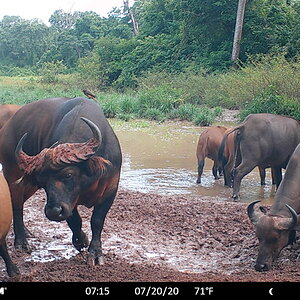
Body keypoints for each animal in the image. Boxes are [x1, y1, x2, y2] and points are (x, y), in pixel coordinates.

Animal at [0, 97, 123, 264]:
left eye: (68, 174)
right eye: (43, 181)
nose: (53, 212)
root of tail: (7, 128)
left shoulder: (111, 188)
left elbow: (97, 221)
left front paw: (95, 252)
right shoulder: (68, 202)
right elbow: (74, 220)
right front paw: (81, 240)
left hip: (29, 185)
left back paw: (27, 232)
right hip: (12, 174)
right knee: (17, 205)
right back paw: (21, 242)